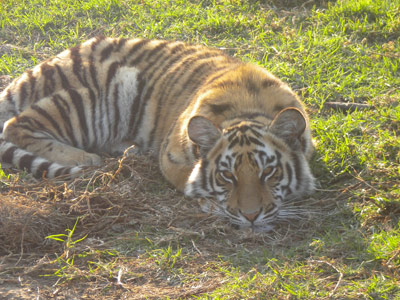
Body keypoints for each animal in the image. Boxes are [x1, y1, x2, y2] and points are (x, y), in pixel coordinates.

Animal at [0, 37, 316, 230]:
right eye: (228, 176)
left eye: (268, 173)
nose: (251, 217)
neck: (248, 109)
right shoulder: (171, 155)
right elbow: (187, 179)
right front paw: (209, 202)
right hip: (99, 95)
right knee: (16, 125)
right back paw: (86, 159)